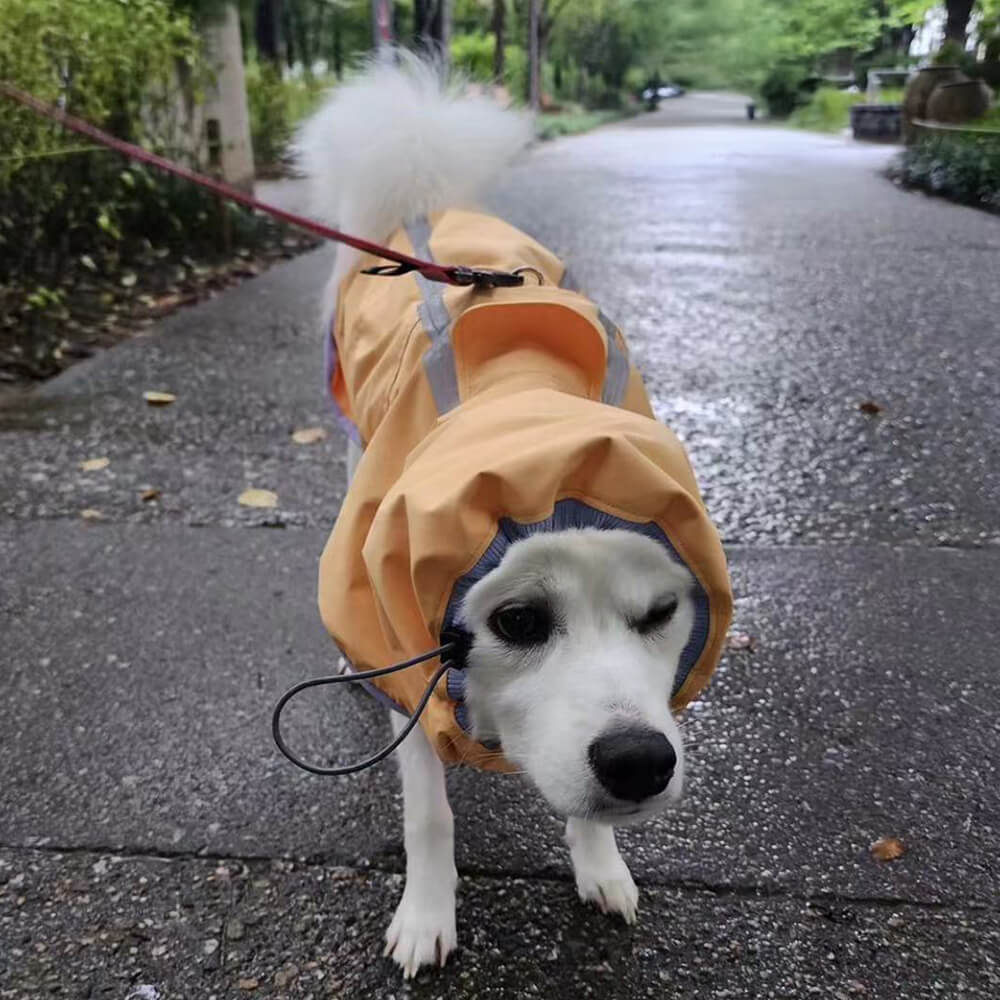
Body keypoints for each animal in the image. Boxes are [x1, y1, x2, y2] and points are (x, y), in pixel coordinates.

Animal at [292, 54, 732, 976]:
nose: (640, 762)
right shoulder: (415, 672)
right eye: (520, 621)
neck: (527, 408)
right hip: (353, 454)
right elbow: (429, 816)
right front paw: (427, 914)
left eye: (662, 614)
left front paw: (600, 865)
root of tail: (427, 203)